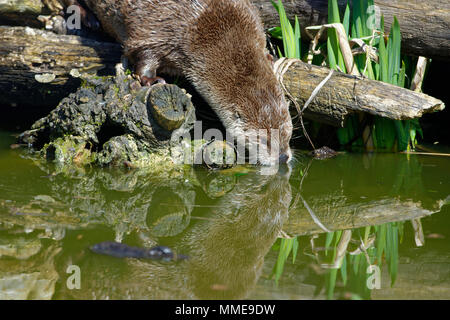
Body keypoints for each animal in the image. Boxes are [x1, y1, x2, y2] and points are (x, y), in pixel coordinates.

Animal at [64, 0, 296, 165]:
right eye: (264, 139)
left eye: (288, 133)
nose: (283, 157)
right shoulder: (158, 29)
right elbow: (141, 51)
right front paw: (150, 79)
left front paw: (270, 58)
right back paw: (86, 17)